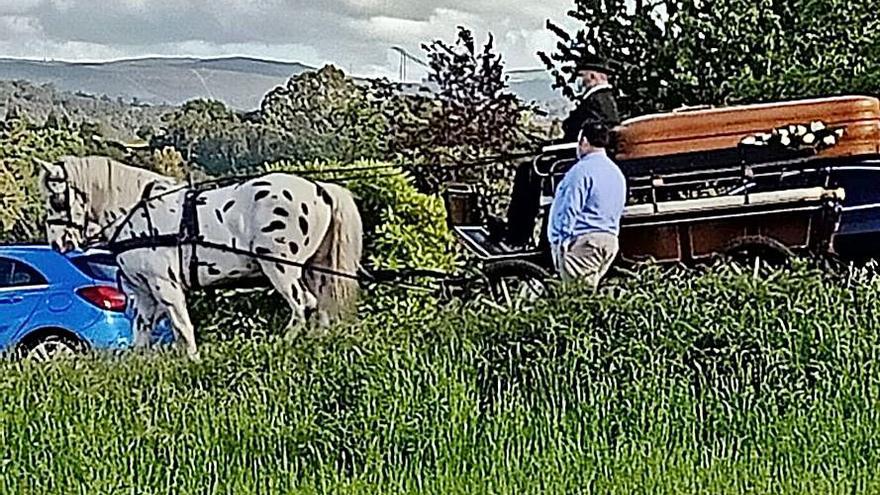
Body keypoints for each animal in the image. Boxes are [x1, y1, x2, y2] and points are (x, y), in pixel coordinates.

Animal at [36, 156, 362, 360]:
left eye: (56, 198)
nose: (57, 242)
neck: (136, 210)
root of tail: (320, 190)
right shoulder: (143, 292)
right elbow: (141, 332)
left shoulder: (164, 285)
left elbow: (182, 326)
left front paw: (193, 360)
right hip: (312, 269)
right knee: (320, 309)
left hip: (281, 268)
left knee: (302, 305)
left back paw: (280, 345)